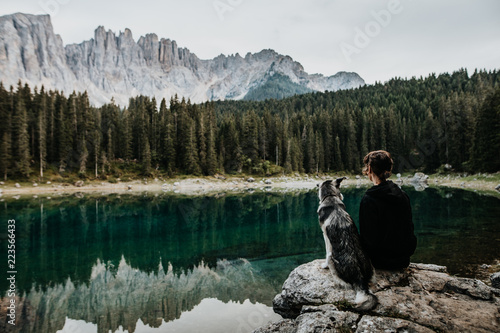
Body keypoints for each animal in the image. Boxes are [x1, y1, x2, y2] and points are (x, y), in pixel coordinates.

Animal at [318, 178, 376, 310]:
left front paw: (323, 265)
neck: (331, 197)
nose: (342, 196)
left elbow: (326, 251)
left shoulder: (325, 235)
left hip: (332, 260)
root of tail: (360, 279)